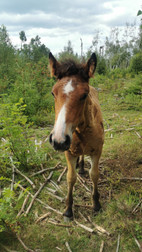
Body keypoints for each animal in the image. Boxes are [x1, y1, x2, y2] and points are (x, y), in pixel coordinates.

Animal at [48, 52, 104, 219]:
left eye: (84, 95)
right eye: (53, 93)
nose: (58, 140)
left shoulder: (97, 151)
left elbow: (95, 174)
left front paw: (96, 204)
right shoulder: (69, 152)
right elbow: (70, 178)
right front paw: (68, 209)